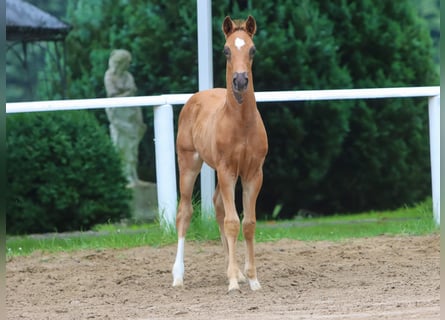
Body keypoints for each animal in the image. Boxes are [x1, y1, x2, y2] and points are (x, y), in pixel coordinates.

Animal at [172, 16, 266, 294]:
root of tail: (196, 97)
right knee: (184, 213)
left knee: (217, 206)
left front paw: (251, 279)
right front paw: (234, 282)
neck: (241, 124)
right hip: (189, 164)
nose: (240, 81)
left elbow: (248, 223)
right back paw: (178, 276)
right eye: (226, 50)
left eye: (252, 49)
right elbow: (233, 222)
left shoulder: (253, 174)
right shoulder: (226, 170)